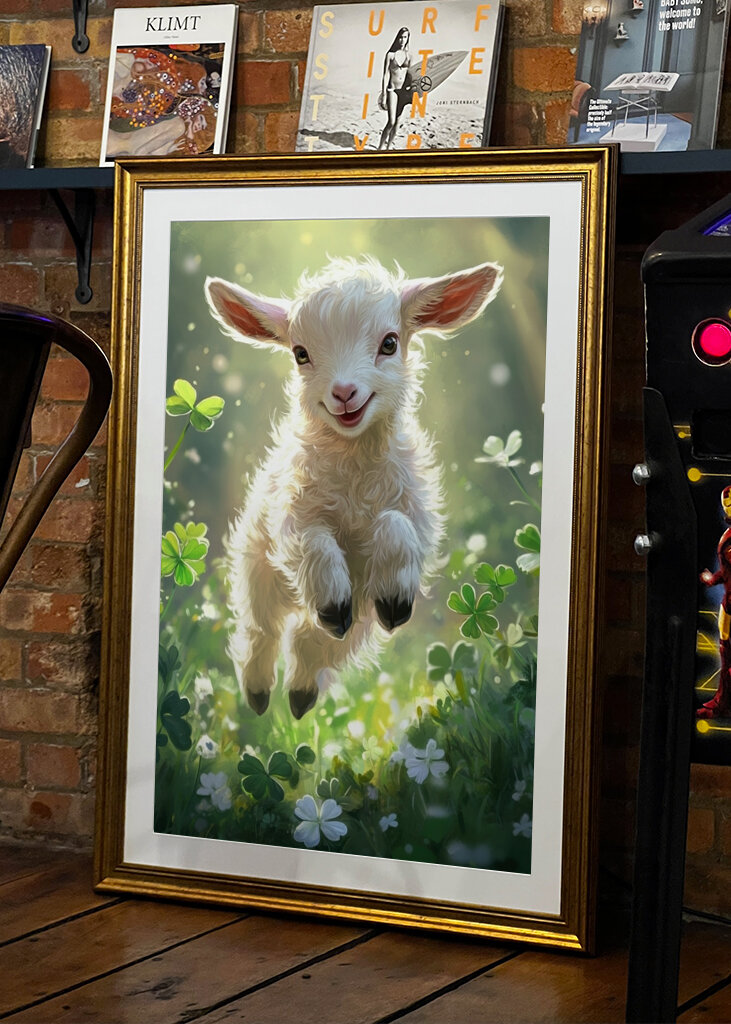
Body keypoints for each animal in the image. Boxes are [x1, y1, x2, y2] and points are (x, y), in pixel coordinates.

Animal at [205, 256, 503, 718]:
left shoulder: (416, 516)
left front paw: (395, 599)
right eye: (301, 354)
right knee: (262, 630)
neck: (355, 475)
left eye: (389, 343)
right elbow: (313, 543)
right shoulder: (290, 518)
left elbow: (396, 528)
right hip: (258, 572)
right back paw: (258, 692)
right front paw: (331, 599)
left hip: (359, 619)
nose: (344, 392)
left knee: (315, 642)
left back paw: (300, 694)